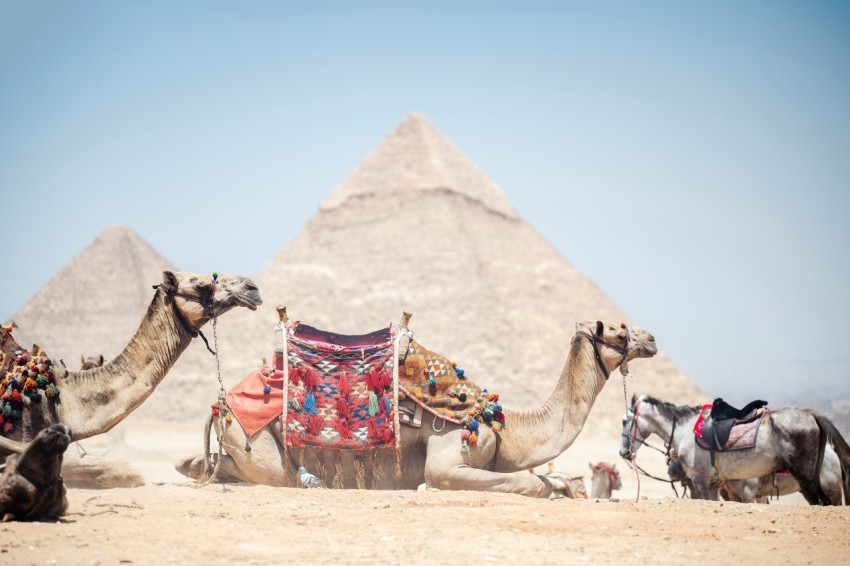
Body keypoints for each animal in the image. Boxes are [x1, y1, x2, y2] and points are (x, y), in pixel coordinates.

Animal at [177, 318, 657, 497]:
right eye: (618, 331)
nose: (651, 338)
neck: (498, 422)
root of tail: (221, 403)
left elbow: (540, 479)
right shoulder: (449, 451)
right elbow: (529, 483)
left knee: (217, 466)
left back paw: (192, 466)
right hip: (254, 435)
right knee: (280, 476)